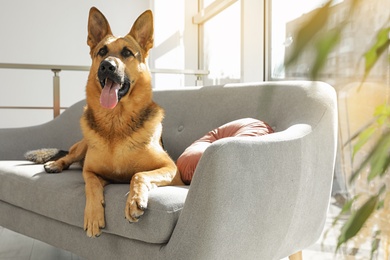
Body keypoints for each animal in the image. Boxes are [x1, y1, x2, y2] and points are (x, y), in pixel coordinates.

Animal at [26, 6, 184, 238]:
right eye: (102, 51)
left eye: (127, 53)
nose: (107, 66)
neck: (115, 122)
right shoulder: (91, 172)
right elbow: (91, 185)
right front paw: (93, 215)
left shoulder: (172, 170)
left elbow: (138, 174)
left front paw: (134, 200)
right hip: (82, 146)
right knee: (69, 156)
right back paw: (55, 164)